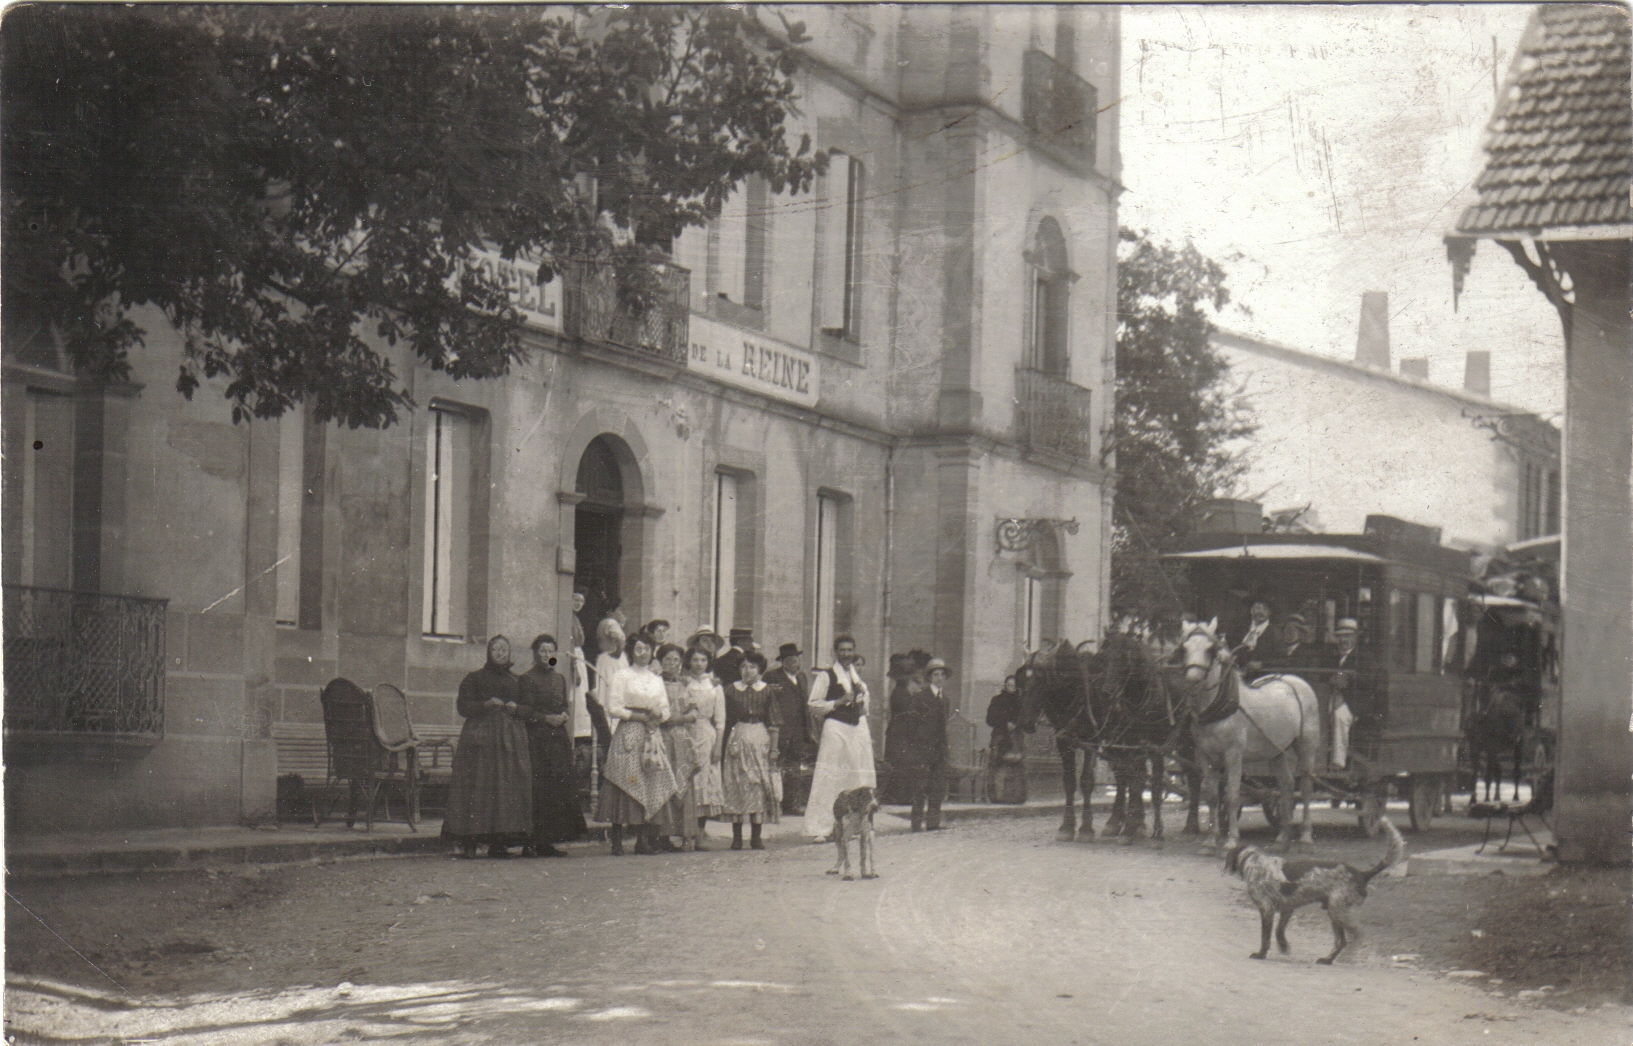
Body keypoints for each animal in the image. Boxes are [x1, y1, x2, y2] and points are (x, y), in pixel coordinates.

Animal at [1012, 636, 1208, 842]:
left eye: (1041, 680)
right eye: (1021, 682)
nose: (1025, 722)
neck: (1081, 692)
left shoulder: (1092, 740)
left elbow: (1087, 781)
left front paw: (1086, 828)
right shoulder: (1066, 742)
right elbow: (1069, 782)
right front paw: (1067, 826)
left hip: (1184, 743)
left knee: (1192, 776)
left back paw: (1190, 825)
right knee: (1128, 777)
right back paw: (1123, 823)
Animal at [1175, 620, 1325, 848]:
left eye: (1210, 649)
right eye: (1184, 648)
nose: (1192, 681)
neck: (1219, 706)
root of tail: (1293, 680)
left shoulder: (1233, 754)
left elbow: (1232, 795)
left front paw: (1232, 840)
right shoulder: (1205, 756)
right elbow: (1211, 796)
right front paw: (1210, 841)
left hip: (1306, 745)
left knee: (1306, 786)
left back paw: (1306, 836)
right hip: (1277, 751)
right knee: (1287, 785)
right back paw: (1283, 836)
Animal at [1228, 815, 1404, 966]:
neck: (1253, 860)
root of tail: (1361, 873)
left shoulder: (1266, 909)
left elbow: (1265, 937)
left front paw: (1261, 954)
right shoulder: (1287, 909)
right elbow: (1279, 931)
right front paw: (1284, 947)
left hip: (1337, 911)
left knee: (1357, 934)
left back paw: (1348, 957)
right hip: (1334, 912)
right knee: (1341, 941)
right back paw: (1327, 959)